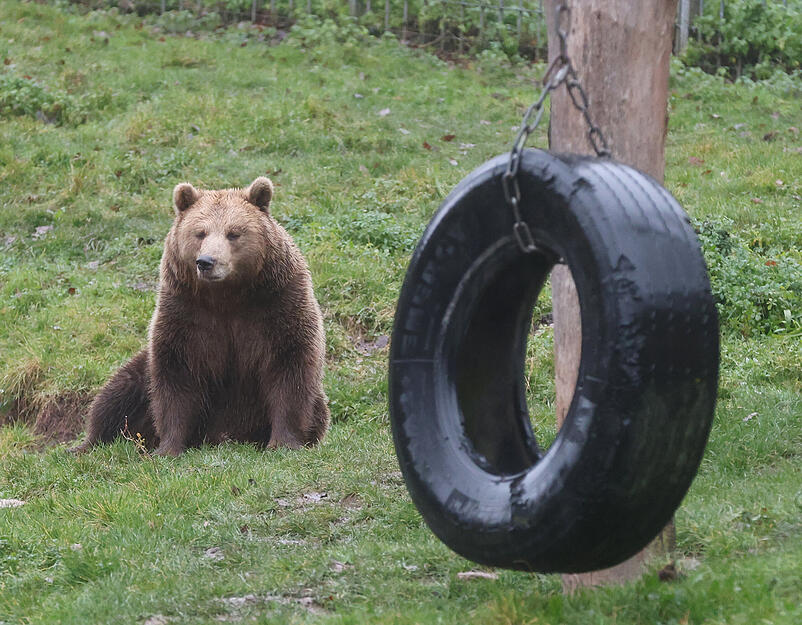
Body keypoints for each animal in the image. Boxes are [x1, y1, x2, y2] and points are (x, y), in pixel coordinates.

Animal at [72, 177, 330, 456]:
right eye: (200, 232)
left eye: (233, 233)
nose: (206, 261)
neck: (227, 296)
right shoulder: (187, 312)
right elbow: (177, 374)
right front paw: (168, 448)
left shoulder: (277, 304)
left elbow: (289, 366)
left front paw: (283, 442)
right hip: (141, 371)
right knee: (117, 394)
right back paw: (86, 444)